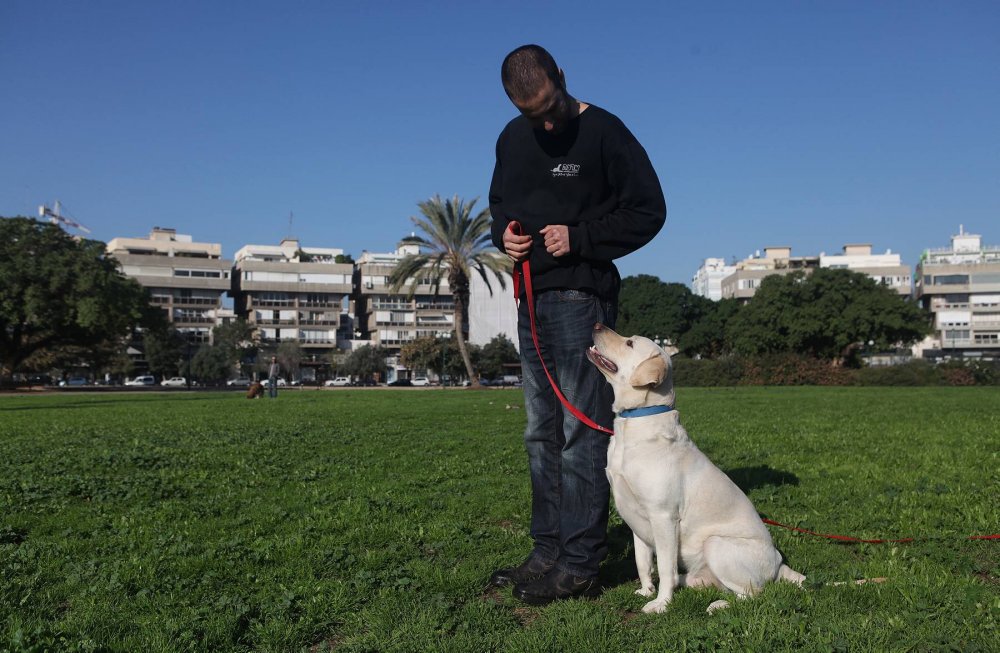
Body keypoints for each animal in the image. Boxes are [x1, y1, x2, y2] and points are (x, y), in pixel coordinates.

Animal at [584, 324, 804, 612]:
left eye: (630, 343)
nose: (597, 325)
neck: (635, 421)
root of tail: (780, 563)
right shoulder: (635, 520)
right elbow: (643, 563)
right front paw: (646, 591)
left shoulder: (663, 516)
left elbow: (664, 566)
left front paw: (661, 604)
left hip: (716, 544)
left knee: (753, 595)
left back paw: (718, 605)